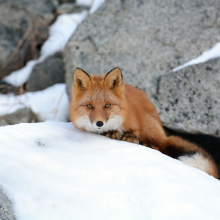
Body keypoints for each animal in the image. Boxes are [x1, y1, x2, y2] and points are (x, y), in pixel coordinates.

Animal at [69, 67, 217, 179]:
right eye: (89, 106)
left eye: (107, 105)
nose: (99, 123)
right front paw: (111, 132)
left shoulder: (134, 121)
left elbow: (133, 132)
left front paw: (128, 136)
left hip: (150, 128)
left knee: (159, 147)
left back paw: (146, 143)